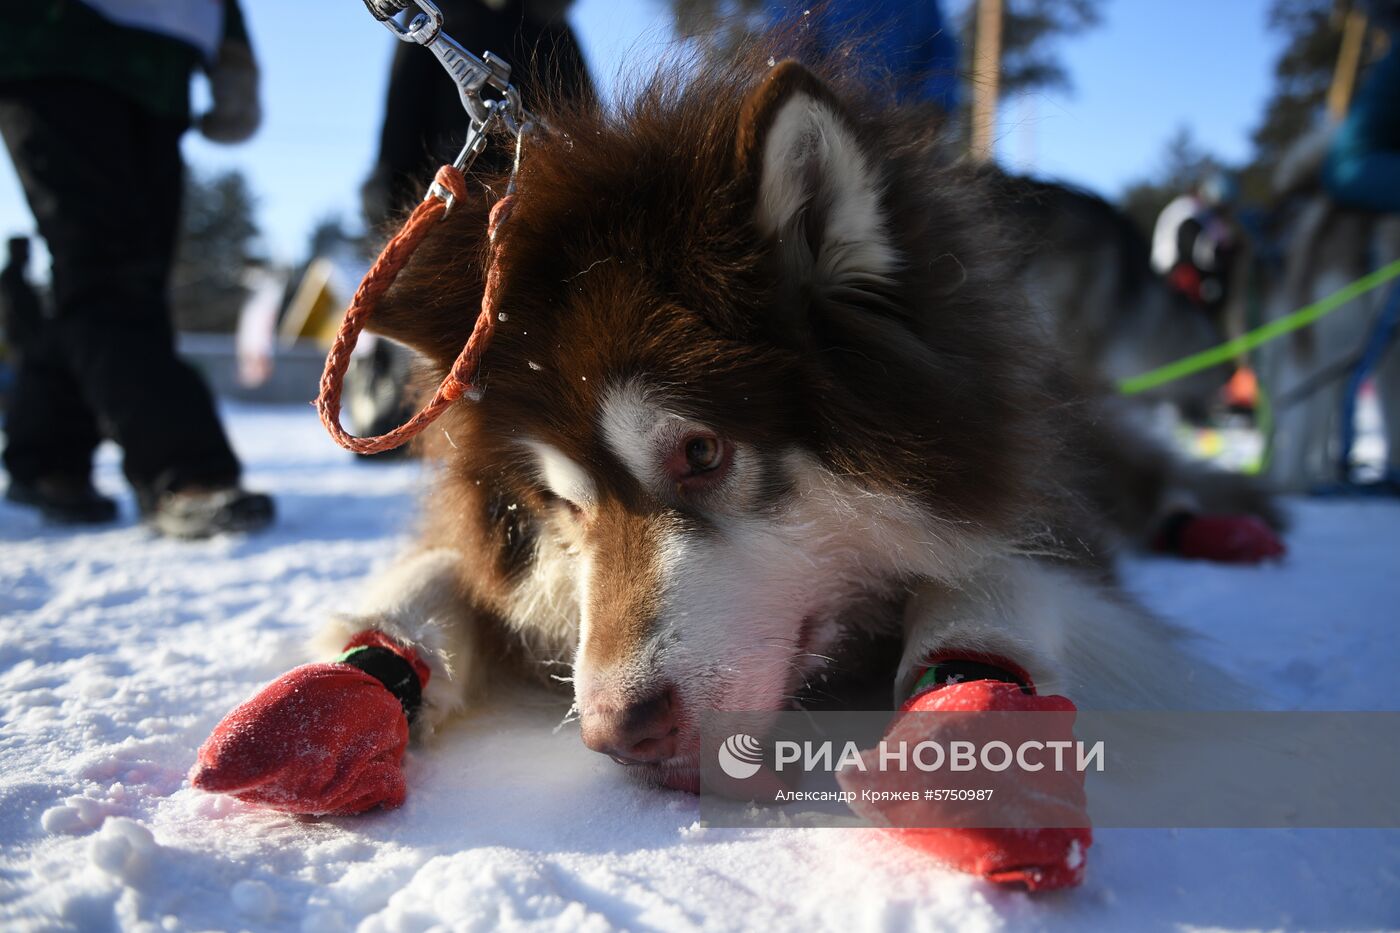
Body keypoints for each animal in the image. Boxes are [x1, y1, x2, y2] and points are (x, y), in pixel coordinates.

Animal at [312, 56, 1265, 784]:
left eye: (702, 451)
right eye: (562, 504)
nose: (616, 735)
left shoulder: (1031, 500)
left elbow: (992, 576)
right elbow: (449, 568)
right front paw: (373, 651)